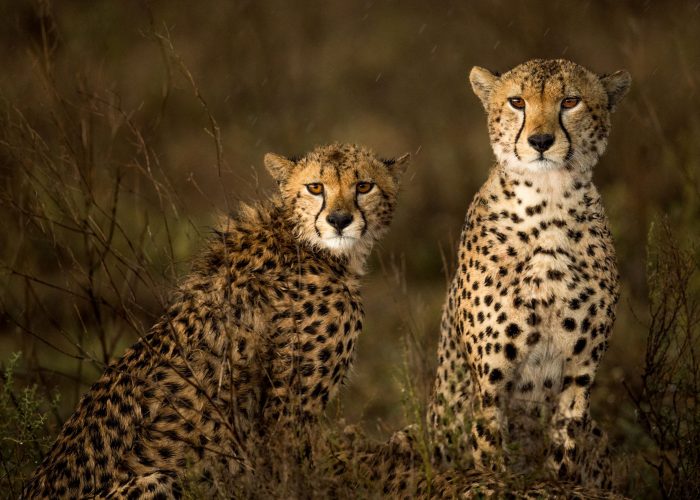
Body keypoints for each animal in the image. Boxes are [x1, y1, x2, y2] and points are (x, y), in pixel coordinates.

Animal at [22, 142, 409, 499]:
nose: (339, 221)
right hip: (157, 479)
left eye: (363, 186)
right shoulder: (287, 415)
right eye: (315, 187)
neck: (306, 243)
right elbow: (307, 478)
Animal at [427, 59, 631, 489]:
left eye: (570, 101)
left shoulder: (580, 373)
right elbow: (491, 453)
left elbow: (566, 446)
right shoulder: (491, 382)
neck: (549, 201)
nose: (540, 141)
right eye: (517, 102)